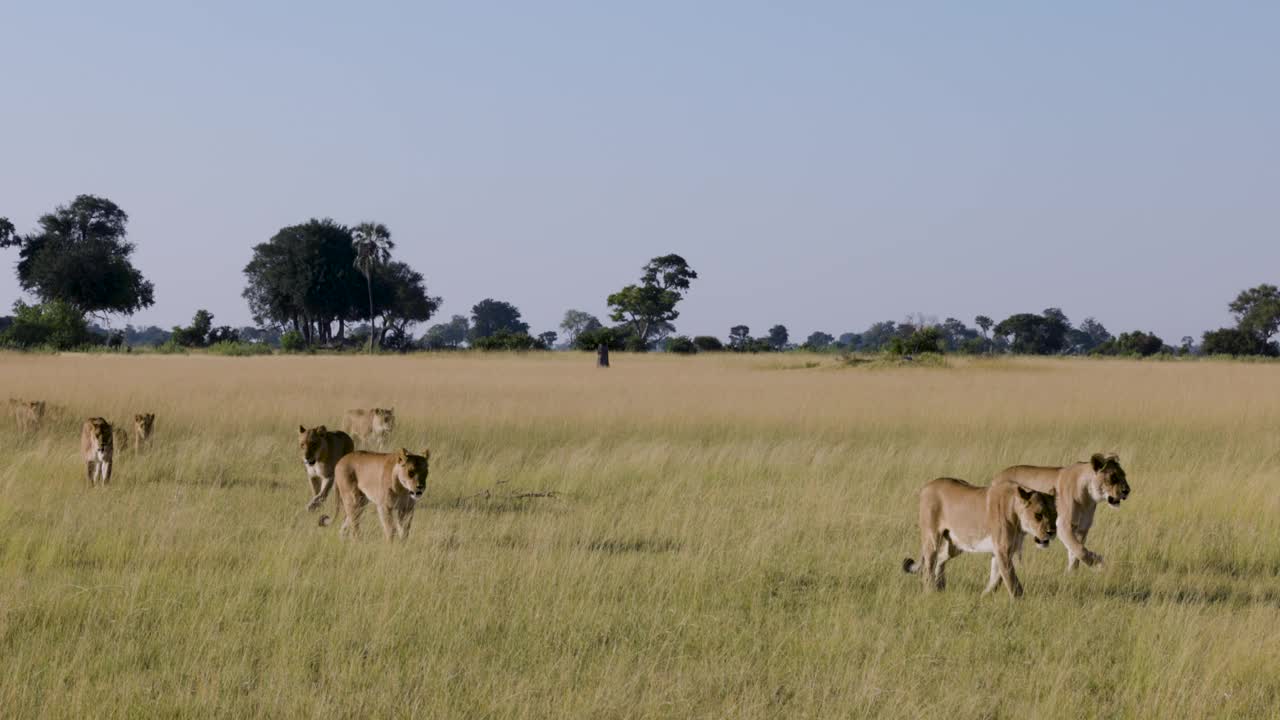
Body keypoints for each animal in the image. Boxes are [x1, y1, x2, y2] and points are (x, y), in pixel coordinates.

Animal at [906, 476, 1054, 594]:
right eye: (1038, 515)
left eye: (1055, 514)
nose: (1051, 532)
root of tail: (927, 485)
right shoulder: (1002, 550)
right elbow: (1012, 581)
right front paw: (1019, 602)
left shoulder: (1002, 551)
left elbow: (996, 578)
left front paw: (984, 597)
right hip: (932, 539)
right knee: (928, 568)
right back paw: (930, 592)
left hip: (956, 545)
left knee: (941, 558)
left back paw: (940, 588)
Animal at [988, 450, 1131, 568]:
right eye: (1113, 477)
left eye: (1124, 475)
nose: (1127, 491)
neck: (1088, 498)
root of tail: (995, 478)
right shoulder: (1063, 525)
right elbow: (1080, 550)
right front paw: (1099, 562)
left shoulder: (1082, 529)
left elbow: (1075, 554)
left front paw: (1072, 575)